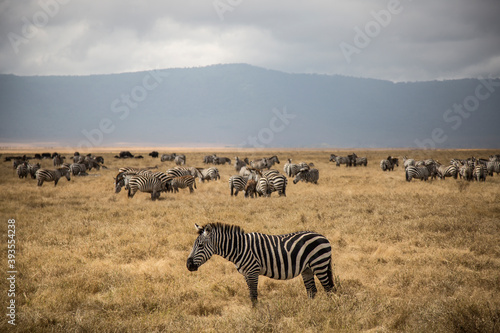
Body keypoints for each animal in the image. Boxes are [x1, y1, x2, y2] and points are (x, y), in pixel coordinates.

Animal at [187, 222, 336, 304]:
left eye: (200, 245)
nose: (188, 265)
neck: (239, 247)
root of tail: (323, 237)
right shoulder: (246, 274)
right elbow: (250, 294)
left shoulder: (253, 271)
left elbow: (253, 295)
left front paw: (256, 315)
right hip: (307, 269)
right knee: (312, 291)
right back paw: (310, 309)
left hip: (319, 264)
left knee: (328, 288)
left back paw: (328, 309)